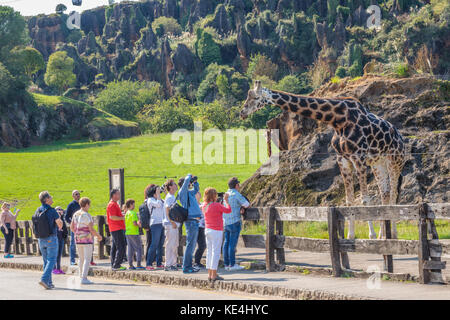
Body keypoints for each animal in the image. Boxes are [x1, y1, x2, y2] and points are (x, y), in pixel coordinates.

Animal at [241, 81, 406, 239]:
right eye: (247, 97)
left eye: (255, 97)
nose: (242, 112)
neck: (338, 120)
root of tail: (401, 138)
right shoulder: (343, 160)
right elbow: (350, 201)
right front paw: (350, 236)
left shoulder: (358, 158)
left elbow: (365, 200)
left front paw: (371, 235)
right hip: (378, 164)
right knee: (385, 194)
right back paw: (383, 235)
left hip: (395, 161)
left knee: (393, 196)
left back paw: (393, 234)